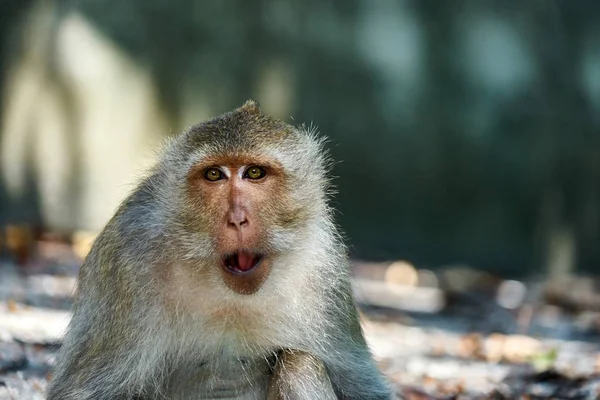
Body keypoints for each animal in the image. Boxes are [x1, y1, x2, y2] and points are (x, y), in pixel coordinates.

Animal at [47, 101, 394, 400]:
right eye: (214, 174)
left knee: (299, 364)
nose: (237, 218)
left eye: (254, 173)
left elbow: (363, 390)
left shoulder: (325, 269)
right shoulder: (129, 257)